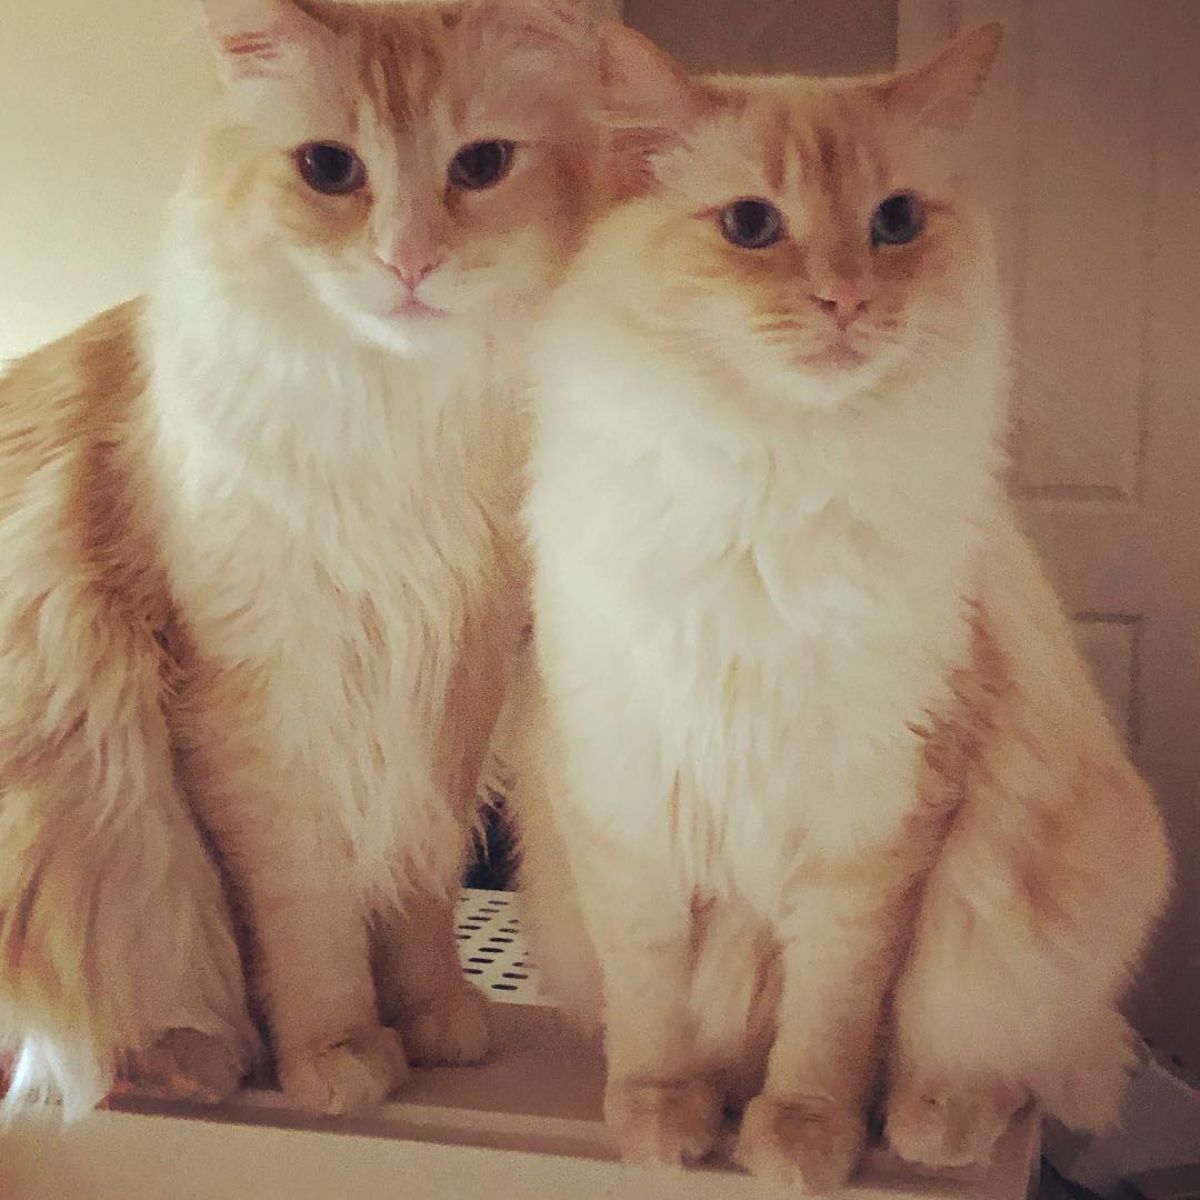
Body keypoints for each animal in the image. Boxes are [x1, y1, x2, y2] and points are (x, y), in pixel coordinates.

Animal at [516, 21, 1171, 1190]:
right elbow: (653, 999)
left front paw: (804, 1138)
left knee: (1015, 1068)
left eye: (895, 222)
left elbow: (831, 1015)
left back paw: (930, 1124)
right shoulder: (624, 792)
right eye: (750, 226)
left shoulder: (878, 813)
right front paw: (664, 1120)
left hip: (1025, 915)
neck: (772, 479)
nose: (848, 300)